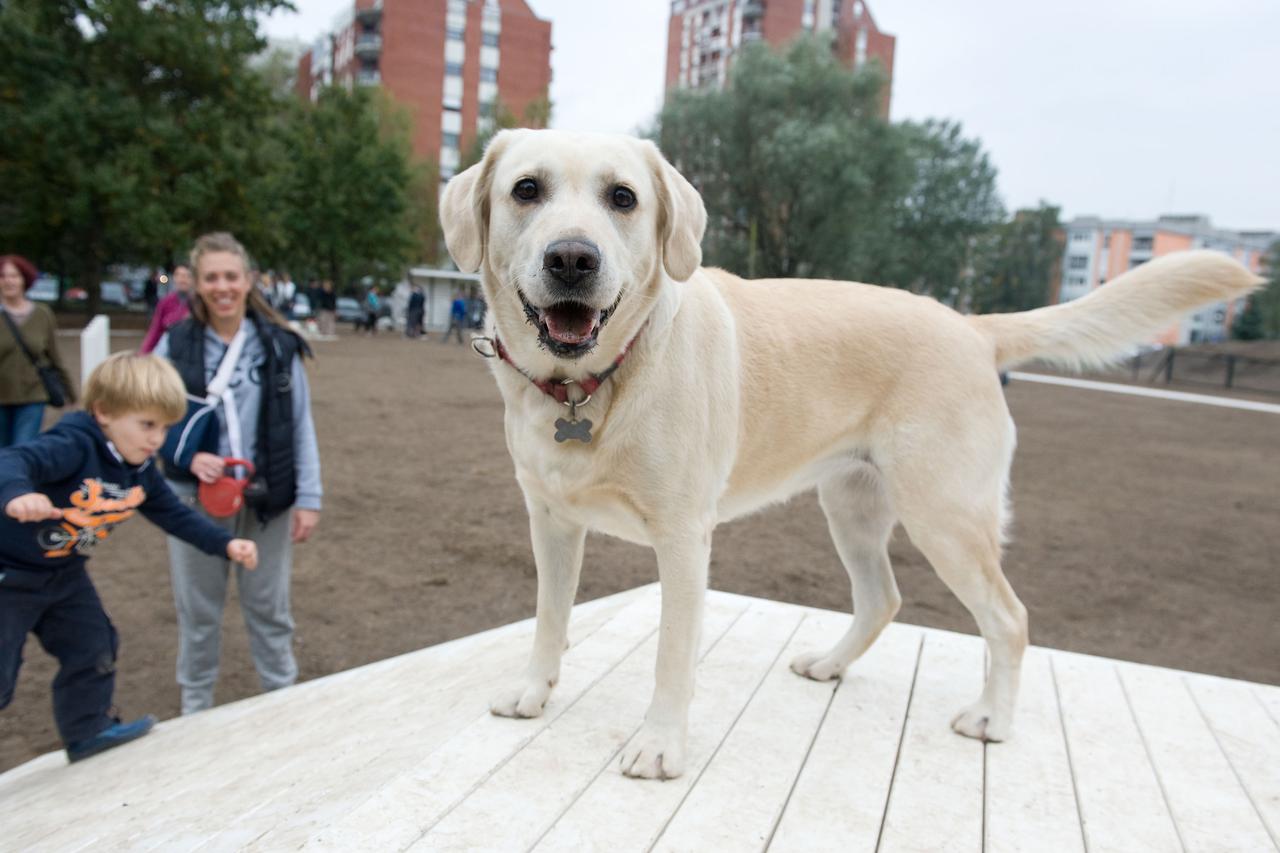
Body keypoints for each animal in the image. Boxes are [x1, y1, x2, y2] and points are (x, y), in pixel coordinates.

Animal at [440, 128, 1259, 778]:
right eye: (526, 189)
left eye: (623, 198)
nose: (572, 259)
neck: (590, 385)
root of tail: (972, 326)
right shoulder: (550, 521)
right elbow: (548, 618)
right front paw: (533, 692)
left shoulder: (682, 539)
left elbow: (672, 656)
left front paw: (660, 745)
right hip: (854, 508)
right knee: (882, 599)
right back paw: (831, 664)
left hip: (945, 516)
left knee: (1010, 617)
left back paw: (992, 720)